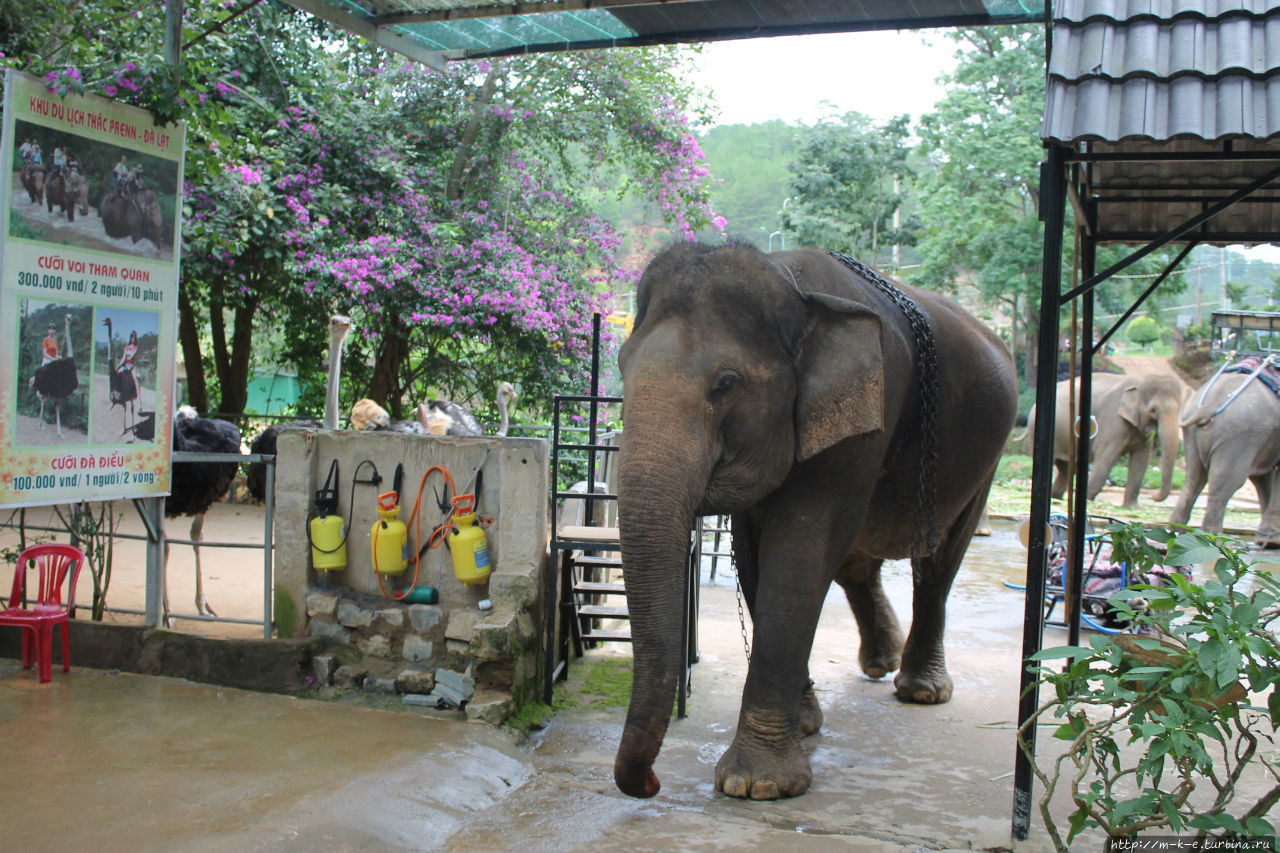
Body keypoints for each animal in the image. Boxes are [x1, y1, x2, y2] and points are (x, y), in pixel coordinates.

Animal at [611, 242, 1018, 799]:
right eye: (621, 368)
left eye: (726, 383)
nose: (651, 781)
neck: (790, 282)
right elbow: (755, 558)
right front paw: (803, 726)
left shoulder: (861, 418)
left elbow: (799, 552)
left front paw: (757, 785)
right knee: (857, 563)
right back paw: (880, 663)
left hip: (985, 460)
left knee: (937, 559)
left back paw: (921, 690)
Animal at [1024, 371, 1182, 504]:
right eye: (1153, 410)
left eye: (1179, 409)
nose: (1153, 496)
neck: (1141, 379)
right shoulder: (1113, 421)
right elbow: (1106, 455)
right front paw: (1087, 501)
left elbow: (1141, 460)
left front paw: (1132, 508)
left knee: (1065, 467)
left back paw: (1056, 498)